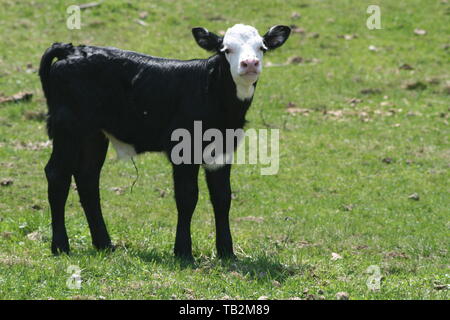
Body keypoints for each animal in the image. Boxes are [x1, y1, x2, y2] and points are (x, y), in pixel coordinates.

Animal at [39, 24, 292, 260]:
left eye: (262, 48)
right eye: (226, 49)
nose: (249, 64)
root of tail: (71, 50)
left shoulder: (223, 150)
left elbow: (222, 197)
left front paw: (226, 252)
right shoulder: (184, 149)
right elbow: (187, 196)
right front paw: (183, 252)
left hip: (94, 134)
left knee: (87, 178)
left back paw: (104, 244)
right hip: (68, 128)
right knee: (57, 175)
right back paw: (60, 246)